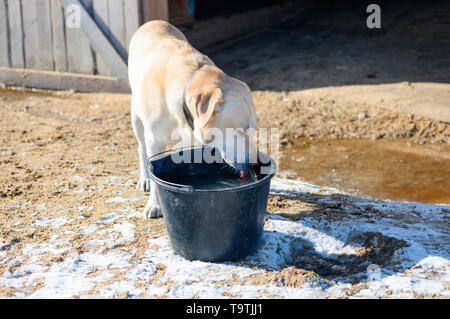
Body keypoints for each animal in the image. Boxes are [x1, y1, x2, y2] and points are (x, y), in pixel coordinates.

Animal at [128, 20, 258, 220]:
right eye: (240, 130)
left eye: (254, 129)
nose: (254, 164)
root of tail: (153, 21)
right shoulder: (153, 140)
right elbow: (155, 175)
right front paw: (154, 204)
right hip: (136, 118)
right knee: (141, 148)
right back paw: (144, 179)